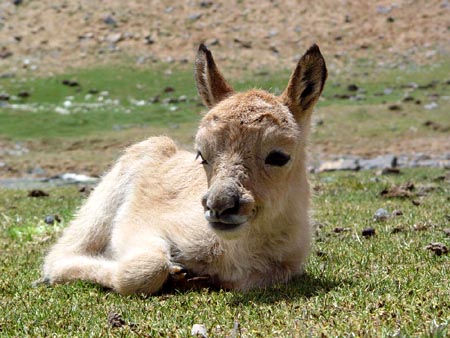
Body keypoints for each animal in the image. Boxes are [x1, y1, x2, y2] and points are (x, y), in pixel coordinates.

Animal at [42, 44, 326, 294]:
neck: (233, 254)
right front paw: (175, 273)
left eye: (279, 156)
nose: (220, 206)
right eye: (202, 154)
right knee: (59, 256)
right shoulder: (136, 226)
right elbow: (144, 270)